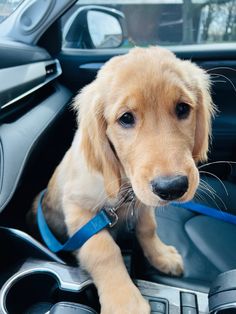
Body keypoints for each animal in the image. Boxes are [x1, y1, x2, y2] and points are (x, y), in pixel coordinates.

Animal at [28, 47, 215, 314]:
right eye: (126, 118)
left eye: (182, 109)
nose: (172, 188)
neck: (123, 185)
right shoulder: (79, 210)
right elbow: (103, 249)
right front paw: (124, 300)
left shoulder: (143, 201)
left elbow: (148, 228)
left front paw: (162, 256)